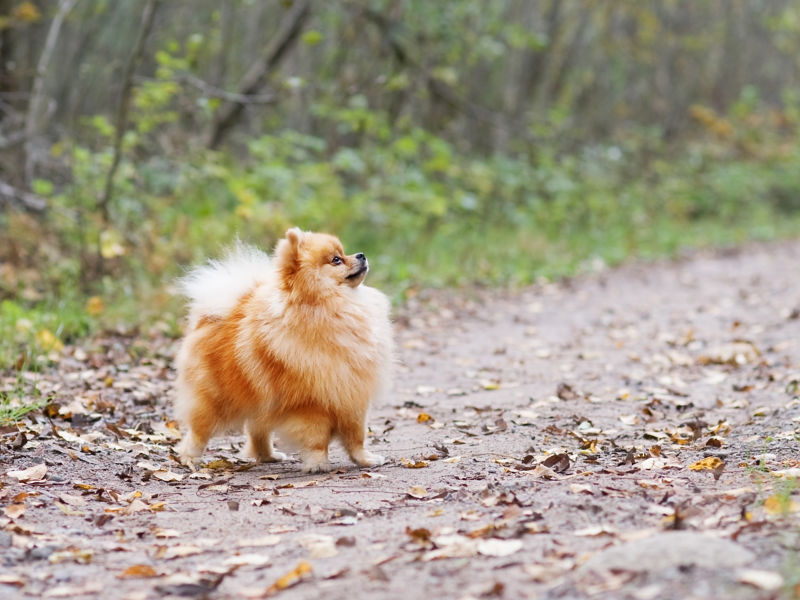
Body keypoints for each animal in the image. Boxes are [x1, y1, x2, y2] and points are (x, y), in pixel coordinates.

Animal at [173, 227, 392, 472]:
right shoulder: (311, 404)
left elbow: (356, 437)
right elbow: (317, 439)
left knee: (257, 430)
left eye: (344, 253)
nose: (361, 255)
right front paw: (318, 464)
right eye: (336, 260)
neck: (329, 307)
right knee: (198, 431)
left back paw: (268, 456)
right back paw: (189, 458)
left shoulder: (352, 396)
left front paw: (366, 459)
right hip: (214, 399)